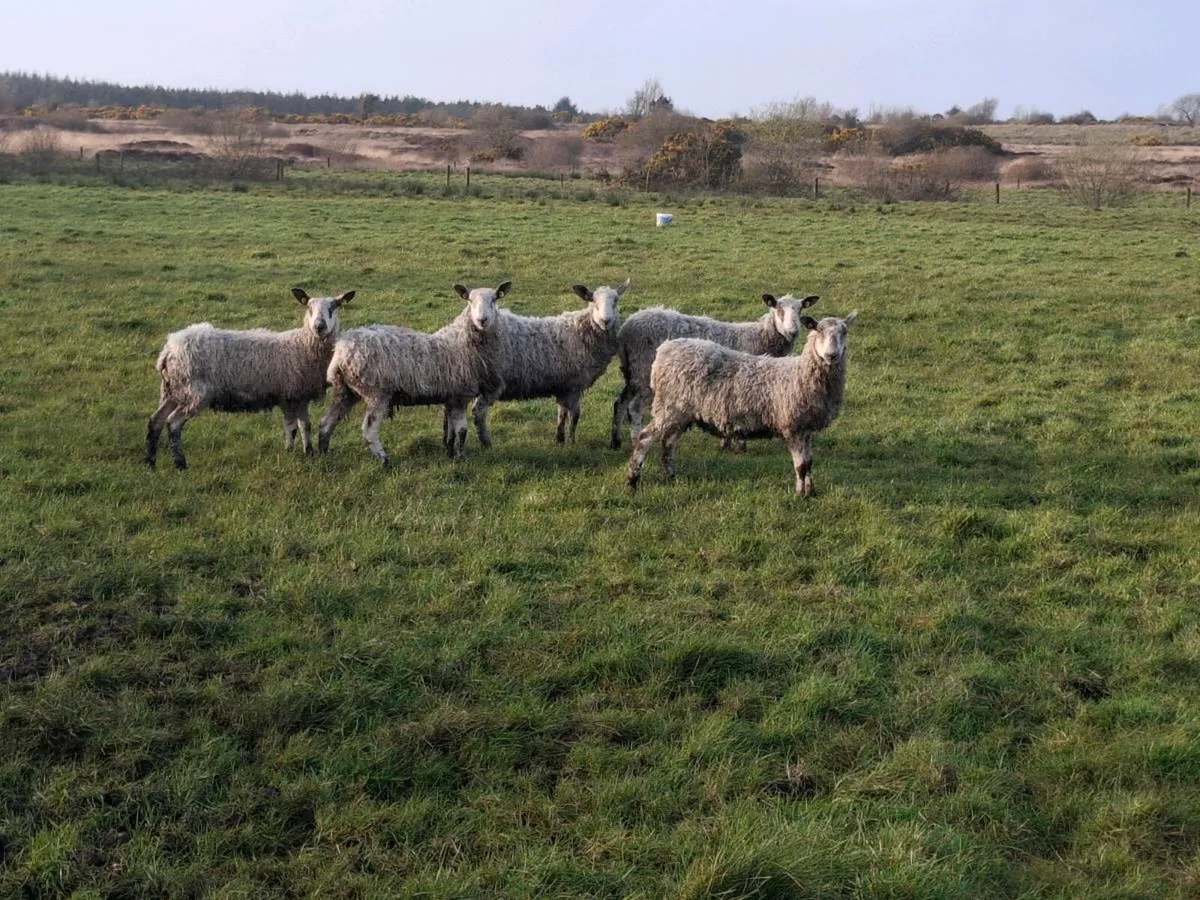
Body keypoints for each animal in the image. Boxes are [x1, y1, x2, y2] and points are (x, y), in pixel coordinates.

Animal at [145, 288, 355, 470]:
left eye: (334, 307)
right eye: (309, 308)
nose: (319, 326)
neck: (303, 345)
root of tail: (169, 349)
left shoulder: (300, 396)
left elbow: (306, 426)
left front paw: (309, 452)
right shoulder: (288, 395)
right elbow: (292, 428)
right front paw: (289, 452)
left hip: (173, 390)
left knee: (156, 421)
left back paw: (150, 462)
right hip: (193, 392)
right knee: (173, 423)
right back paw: (180, 464)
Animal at [317, 282, 509, 465]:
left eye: (494, 300)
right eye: (470, 300)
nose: (482, 320)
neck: (462, 343)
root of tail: (341, 350)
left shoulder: (451, 397)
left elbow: (450, 431)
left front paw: (450, 453)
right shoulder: (460, 395)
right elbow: (462, 431)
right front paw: (462, 457)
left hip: (345, 391)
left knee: (326, 423)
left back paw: (323, 454)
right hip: (376, 393)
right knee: (369, 431)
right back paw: (385, 460)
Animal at [472, 278, 629, 446]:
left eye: (616, 300)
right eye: (593, 301)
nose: (605, 321)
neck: (582, 332)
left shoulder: (563, 386)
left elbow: (562, 413)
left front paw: (559, 439)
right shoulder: (574, 385)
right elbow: (575, 415)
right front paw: (571, 442)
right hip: (488, 380)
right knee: (478, 411)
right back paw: (485, 443)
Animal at [610, 292, 819, 450]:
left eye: (800, 309)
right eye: (779, 309)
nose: (793, 332)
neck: (761, 337)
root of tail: (625, 330)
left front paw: (728, 442)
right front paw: (739, 444)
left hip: (632, 373)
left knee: (620, 403)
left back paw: (616, 441)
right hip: (644, 371)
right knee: (634, 408)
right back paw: (635, 440)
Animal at [626, 311, 857, 497]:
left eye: (844, 331)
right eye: (818, 330)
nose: (831, 355)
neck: (800, 374)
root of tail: (664, 350)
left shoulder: (806, 428)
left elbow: (808, 463)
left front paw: (811, 491)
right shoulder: (792, 426)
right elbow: (800, 466)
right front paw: (801, 496)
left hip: (682, 412)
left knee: (669, 441)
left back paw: (671, 476)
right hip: (669, 407)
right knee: (645, 438)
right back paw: (632, 480)